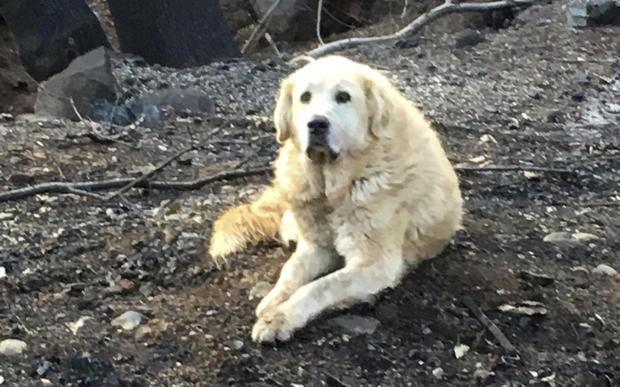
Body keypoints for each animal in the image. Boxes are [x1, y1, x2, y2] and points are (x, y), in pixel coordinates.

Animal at [209, 54, 464, 342]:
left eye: (343, 97)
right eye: (305, 97)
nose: (317, 123)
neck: (333, 186)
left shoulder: (375, 263)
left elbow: (320, 286)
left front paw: (280, 317)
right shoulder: (315, 247)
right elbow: (290, 272)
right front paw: (273, 301)